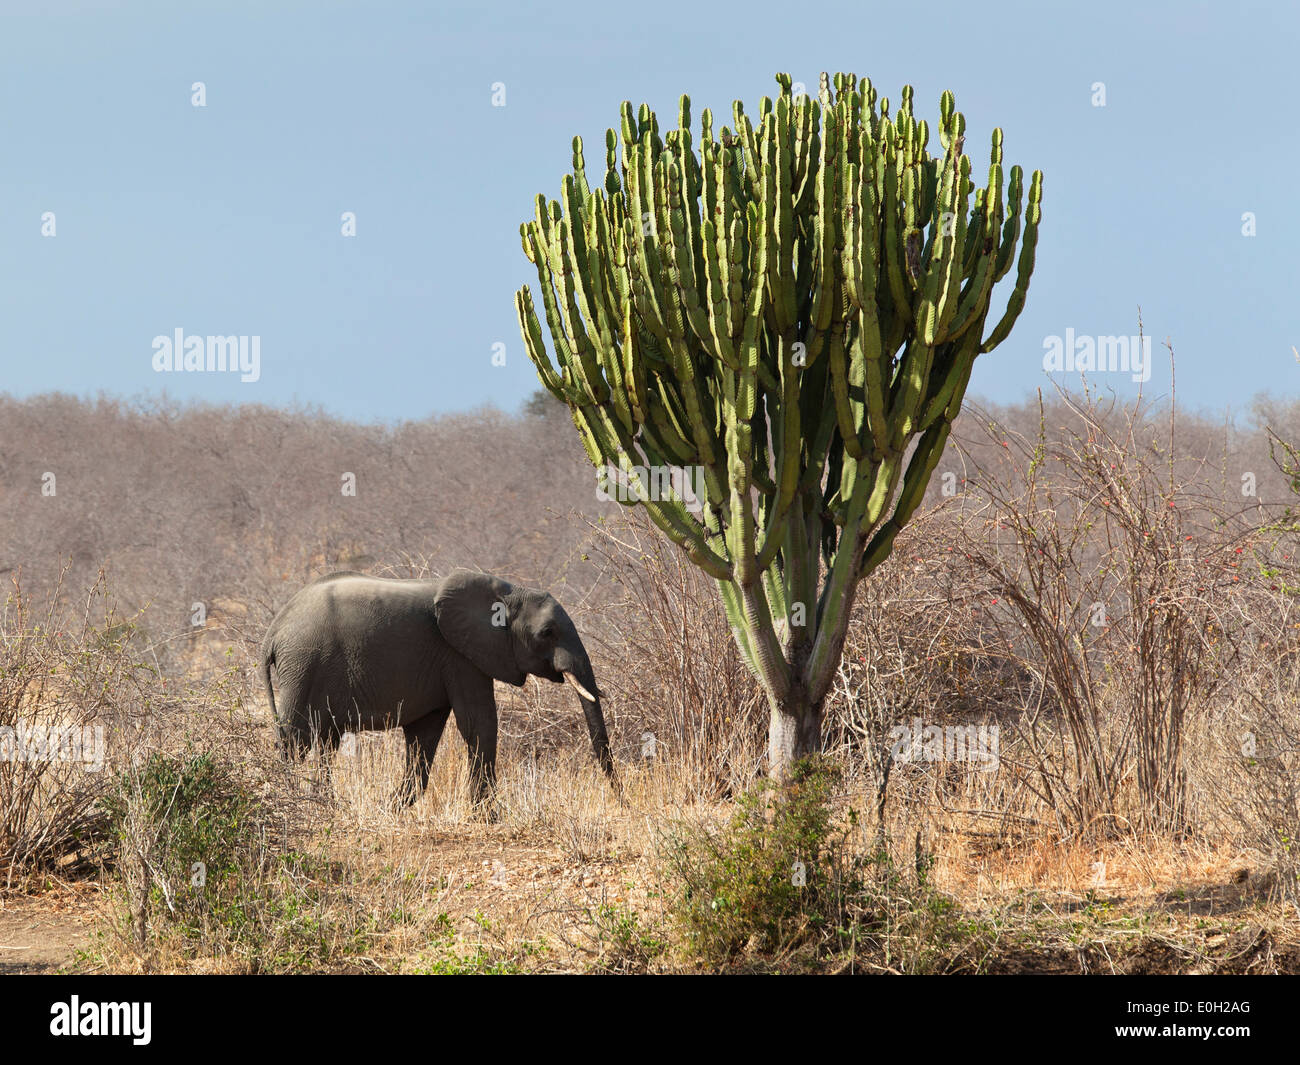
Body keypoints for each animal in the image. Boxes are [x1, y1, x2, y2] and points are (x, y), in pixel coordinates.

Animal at [261, 574, 616, 806]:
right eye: (547, 632)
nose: (619, 799)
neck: (509, 591)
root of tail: (273, 630)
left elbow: (424, 735)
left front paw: (389, 808)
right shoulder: (460, 656)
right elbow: (479, 724)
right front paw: (488, 819)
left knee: (326, 742)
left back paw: (323, 806)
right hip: (304, 665)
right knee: (296, 741)